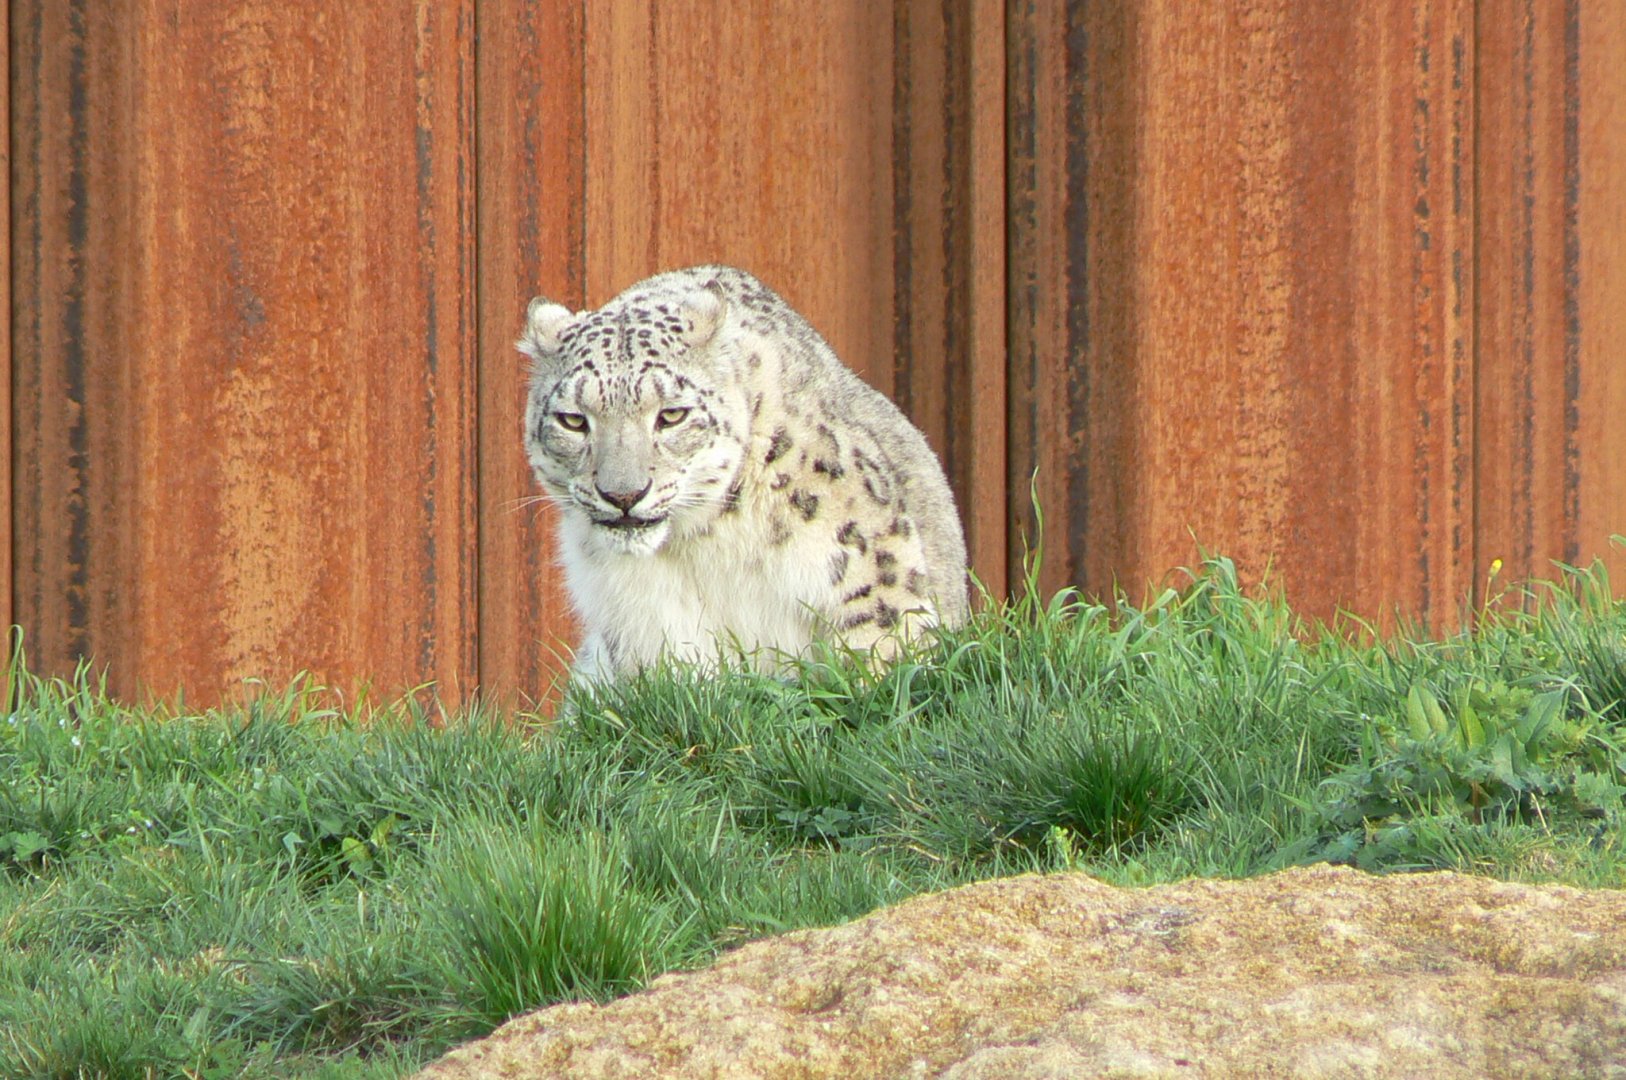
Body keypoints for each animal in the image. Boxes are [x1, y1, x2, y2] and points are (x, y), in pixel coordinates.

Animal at [519, 265, 969, 683]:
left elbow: (884, 653)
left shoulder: (869, 568)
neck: (704, 542)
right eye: (574, 421)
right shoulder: (641, 619)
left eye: (672, 415)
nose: (624, 495)